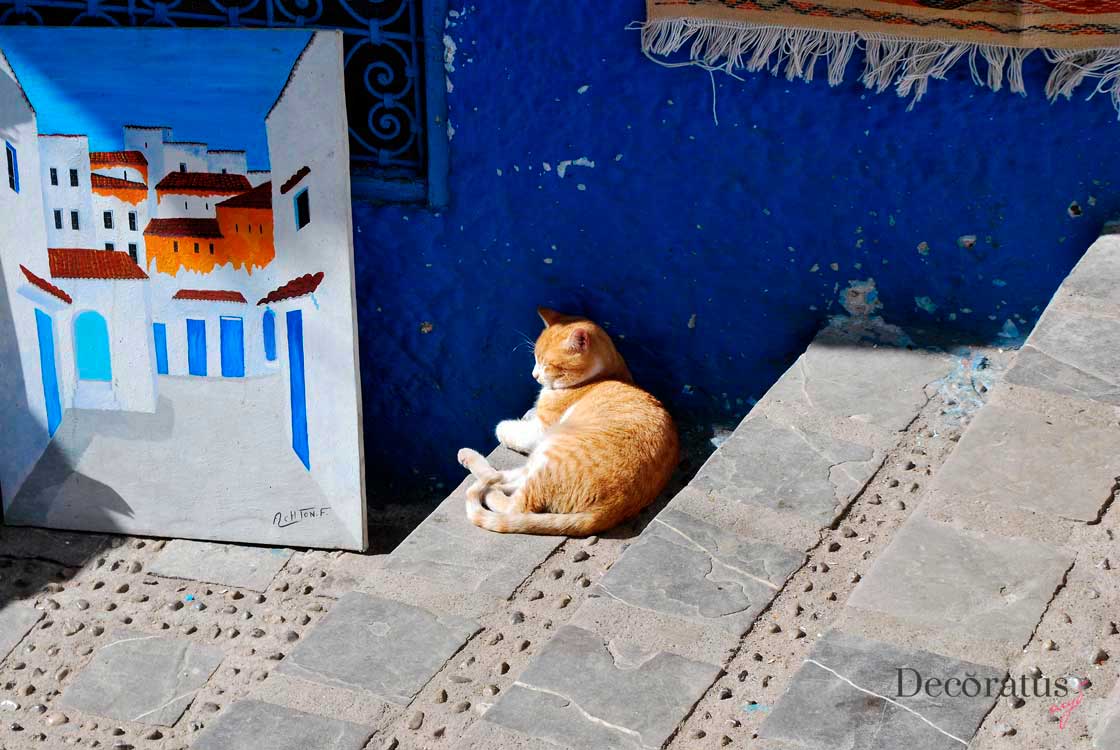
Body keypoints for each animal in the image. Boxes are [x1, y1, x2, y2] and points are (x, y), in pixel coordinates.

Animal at [456, 308, 680, 537]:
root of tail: (608, 511)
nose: (534, 375)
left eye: (547, 365)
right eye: (535, 358)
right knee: (503, 477)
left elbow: (504, 429)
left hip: (549, 449)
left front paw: (507, 425)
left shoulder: (540, 430)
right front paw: (528, 412)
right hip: (539, 458)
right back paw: (468, 457)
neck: (602, 376)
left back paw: (488, 490)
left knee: (513, 503)